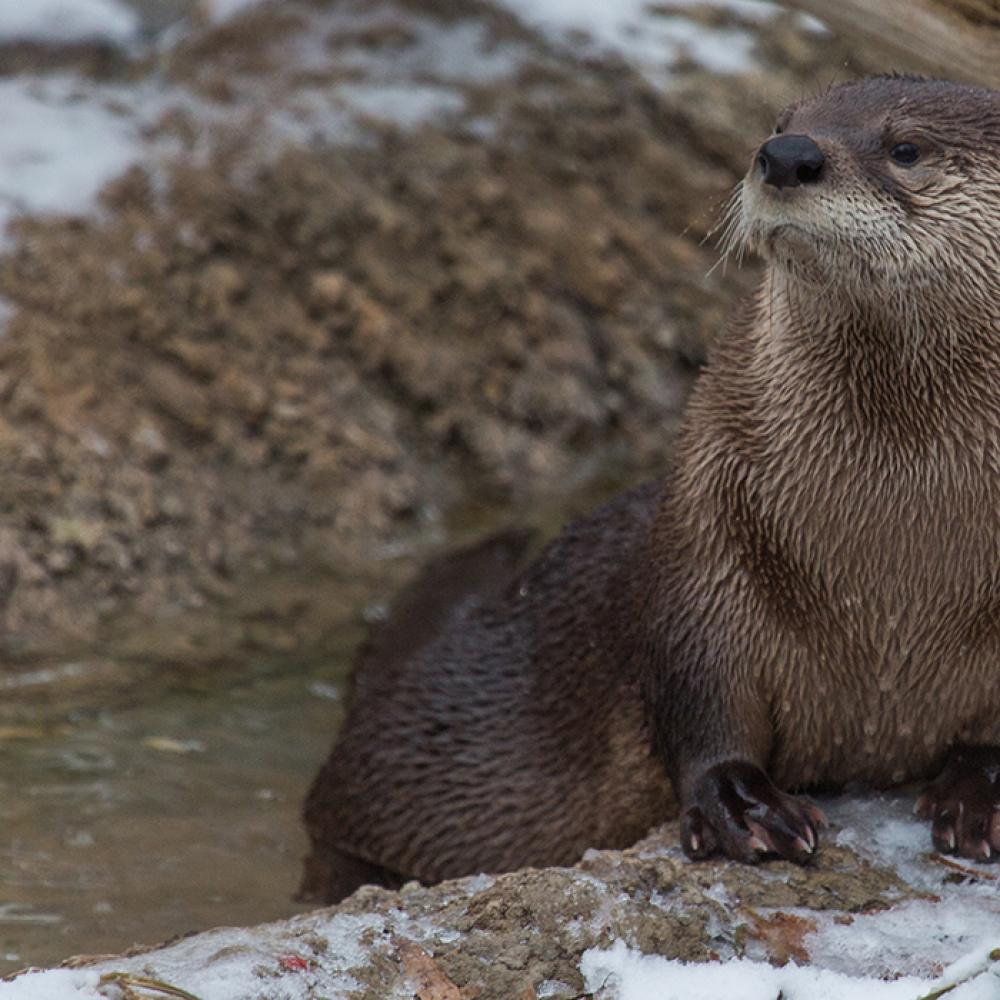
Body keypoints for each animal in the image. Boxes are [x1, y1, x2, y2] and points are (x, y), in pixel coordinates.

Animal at [296, 76, 1000, 908]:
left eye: (906, 148)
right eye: (780, 122)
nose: (786, 156)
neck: (891, 574)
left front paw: (982, 795)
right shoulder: (707, 544)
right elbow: (699, 693)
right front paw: (740, 805)